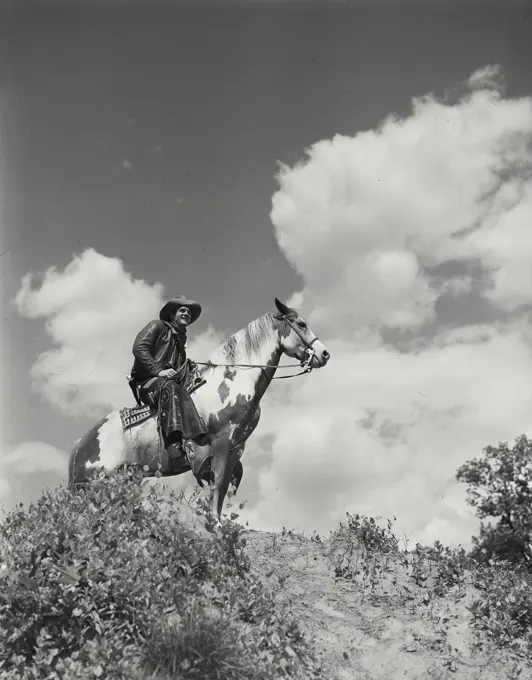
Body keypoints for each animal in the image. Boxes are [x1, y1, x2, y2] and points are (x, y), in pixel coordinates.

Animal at [67, 298, 328, 520]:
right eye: (301, 324)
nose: (324, 354)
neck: (234, 378)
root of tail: (80, 445)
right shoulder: (221, 440)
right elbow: (218, 480)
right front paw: (215, 522)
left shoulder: (236, 448)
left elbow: (222, 486)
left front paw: (218, 522)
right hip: (98, 484)